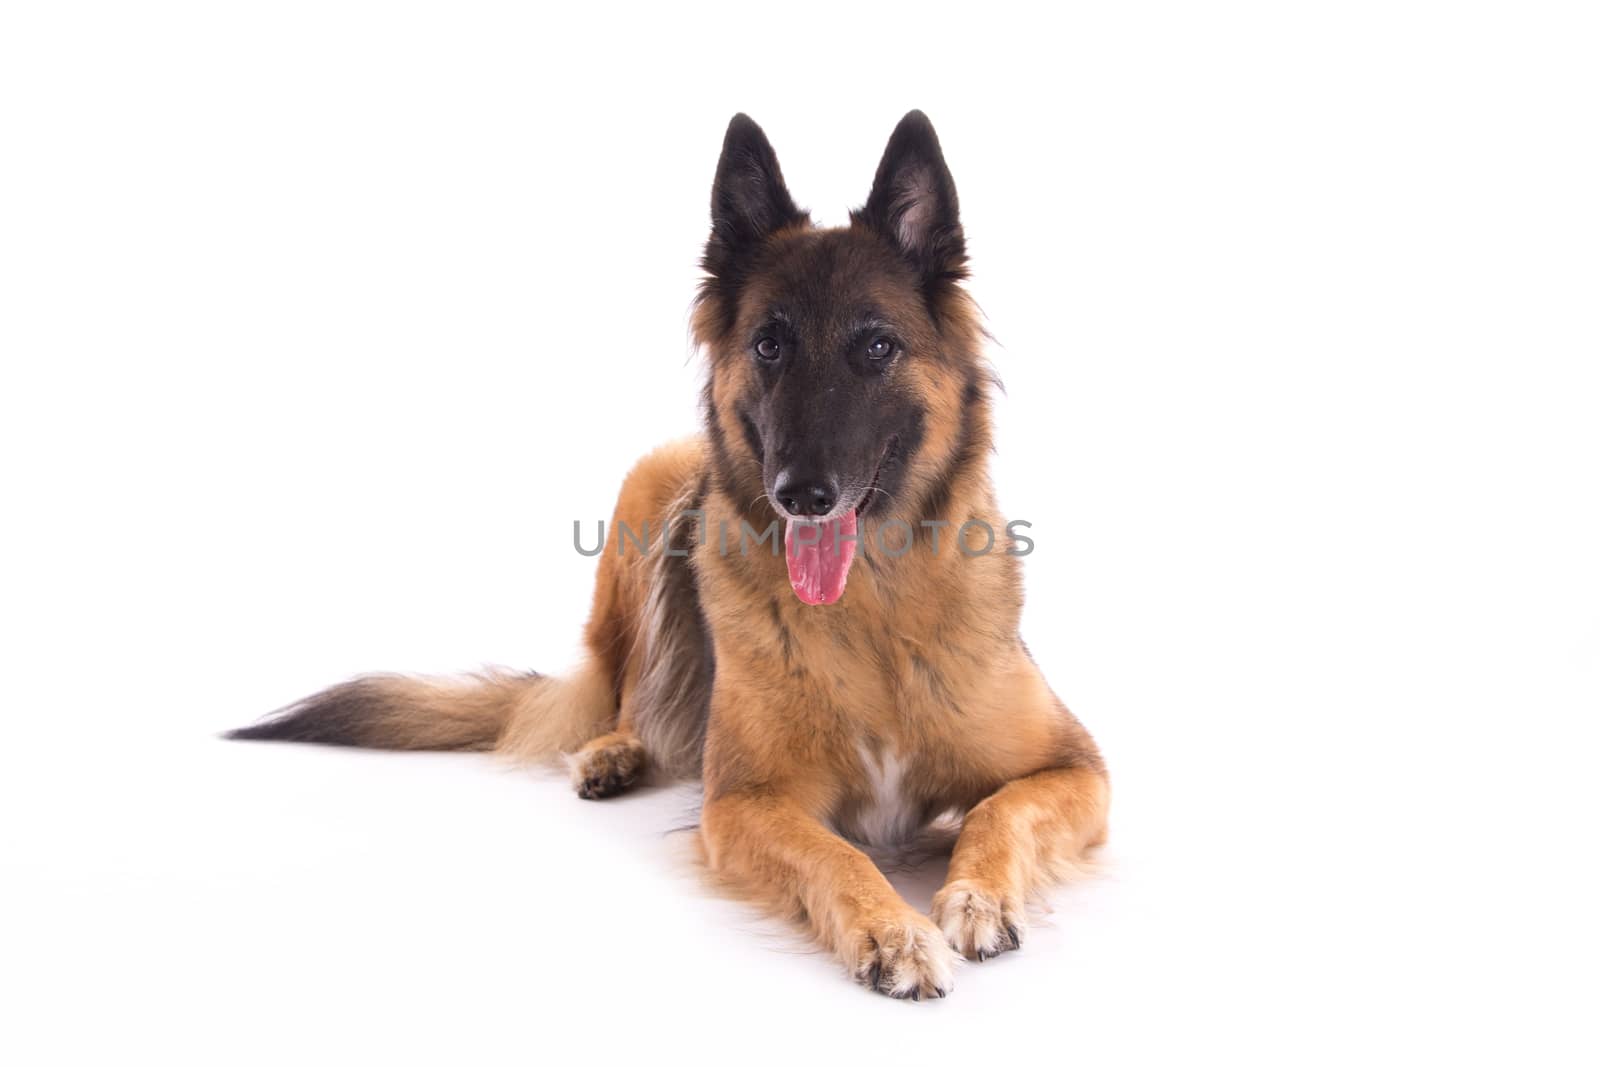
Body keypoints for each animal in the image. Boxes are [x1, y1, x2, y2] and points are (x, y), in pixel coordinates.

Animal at [232, 112, 1107, 998]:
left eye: (876, 347)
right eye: (769, 345)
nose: (801, 494)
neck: (869, 611)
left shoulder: (1076, 767)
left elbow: (1000, 810)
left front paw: (976, 894)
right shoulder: (744, 801)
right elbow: (836, 854)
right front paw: (894, 928)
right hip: (648, 485)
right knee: (622, 686)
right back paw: (614, 749)